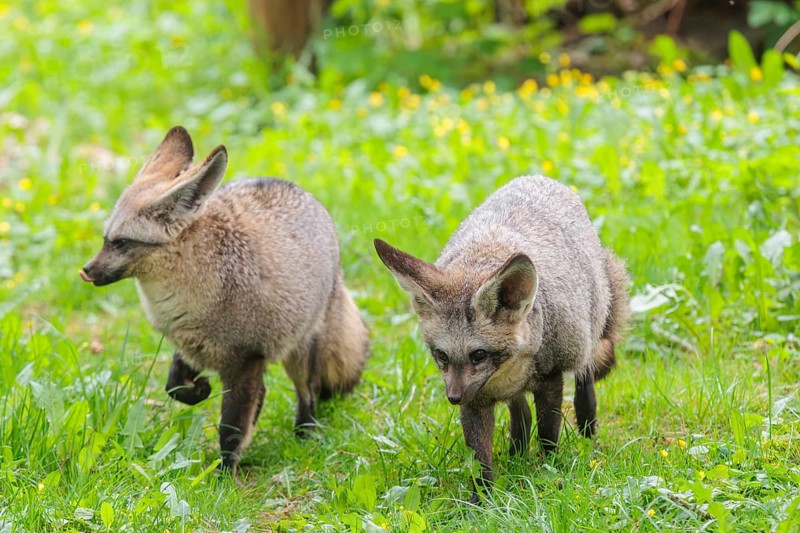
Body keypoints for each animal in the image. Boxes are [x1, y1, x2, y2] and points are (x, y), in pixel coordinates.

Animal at [80, 126, 369, 472]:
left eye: (121, 242)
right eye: (104, 240)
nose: (87, 271)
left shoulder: (246, 359)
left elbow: (230, 428)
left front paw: (224, 475)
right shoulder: (188, 345)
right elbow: (174, 386)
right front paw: (199, 391)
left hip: (299, 355)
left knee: (308, 394)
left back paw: (304, 435)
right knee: (266, 393)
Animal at [374, 175, 629, 503]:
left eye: (479, 354)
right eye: (442, 355)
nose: (453, 398)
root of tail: (537, 177)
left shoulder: (550, 377)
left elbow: (548, 435)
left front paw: (548, 473)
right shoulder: (477, 398)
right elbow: (480, 459)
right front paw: (480, 502)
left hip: (584, 334)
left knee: (584, 374)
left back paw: (586, 426)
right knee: (521, 414)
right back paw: (516, 453)